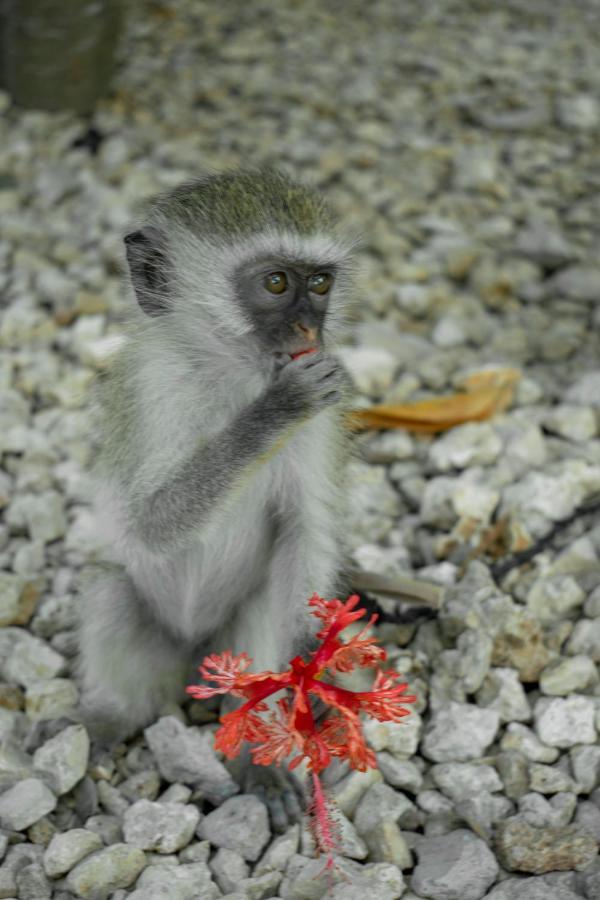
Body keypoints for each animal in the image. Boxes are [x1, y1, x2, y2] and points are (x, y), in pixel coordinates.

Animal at [75, 172, 356, 804]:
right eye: (276, 282)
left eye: (319, 283)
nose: (309, 329)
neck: (230, 376)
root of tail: (194, 649)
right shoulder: (152, 390)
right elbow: (150, 522)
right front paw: (276, 410)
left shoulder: (328, 409)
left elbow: (307, 524)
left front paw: (315, 661)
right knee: (109, 588)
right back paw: (110, 719)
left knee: (266, 613)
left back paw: (257, 751)